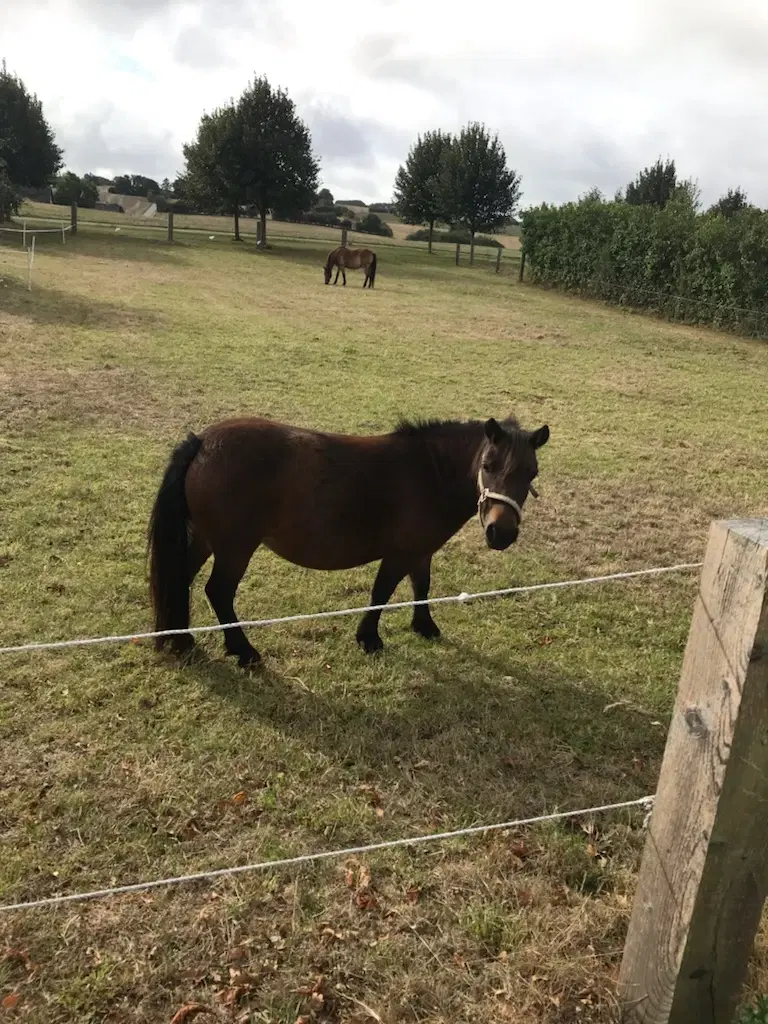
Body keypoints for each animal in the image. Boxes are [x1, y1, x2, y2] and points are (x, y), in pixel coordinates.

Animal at [148, 411, 548, 667]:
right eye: (488, 466)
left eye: (532, 472)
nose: (501, 532)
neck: (429, 473)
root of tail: (202, 442)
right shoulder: (400, 554)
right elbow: (381, 593)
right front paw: (369, 638)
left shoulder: (420, 551)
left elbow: (422, 586)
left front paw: (424, 626)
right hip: (234, 548)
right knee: (218, 592)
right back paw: (243, 651)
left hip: (205, 539)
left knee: (180, 579)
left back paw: (181, 639)